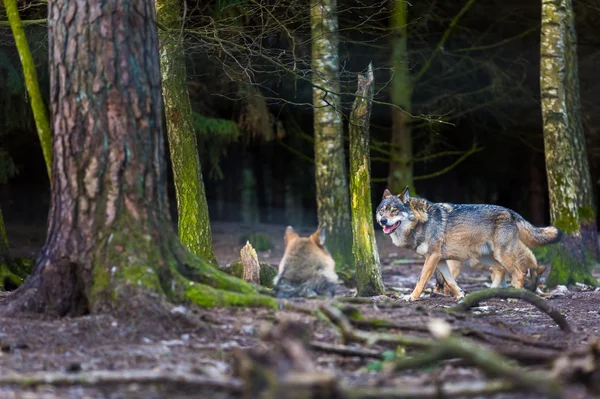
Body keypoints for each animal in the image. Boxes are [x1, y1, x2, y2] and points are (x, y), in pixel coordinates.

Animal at [378, 189, 560, 302]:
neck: (421, 222)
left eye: (394, 210)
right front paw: (460, 295)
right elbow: (450, 282)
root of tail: (510, 211)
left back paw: (513, 297)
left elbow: (421, 279)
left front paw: (412, 297)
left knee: (518, 273)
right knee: (501, 270)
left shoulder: (433, 257)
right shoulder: (440, 260)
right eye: (382, 210)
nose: (383, 221)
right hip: (486, 257)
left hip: (500, 255)